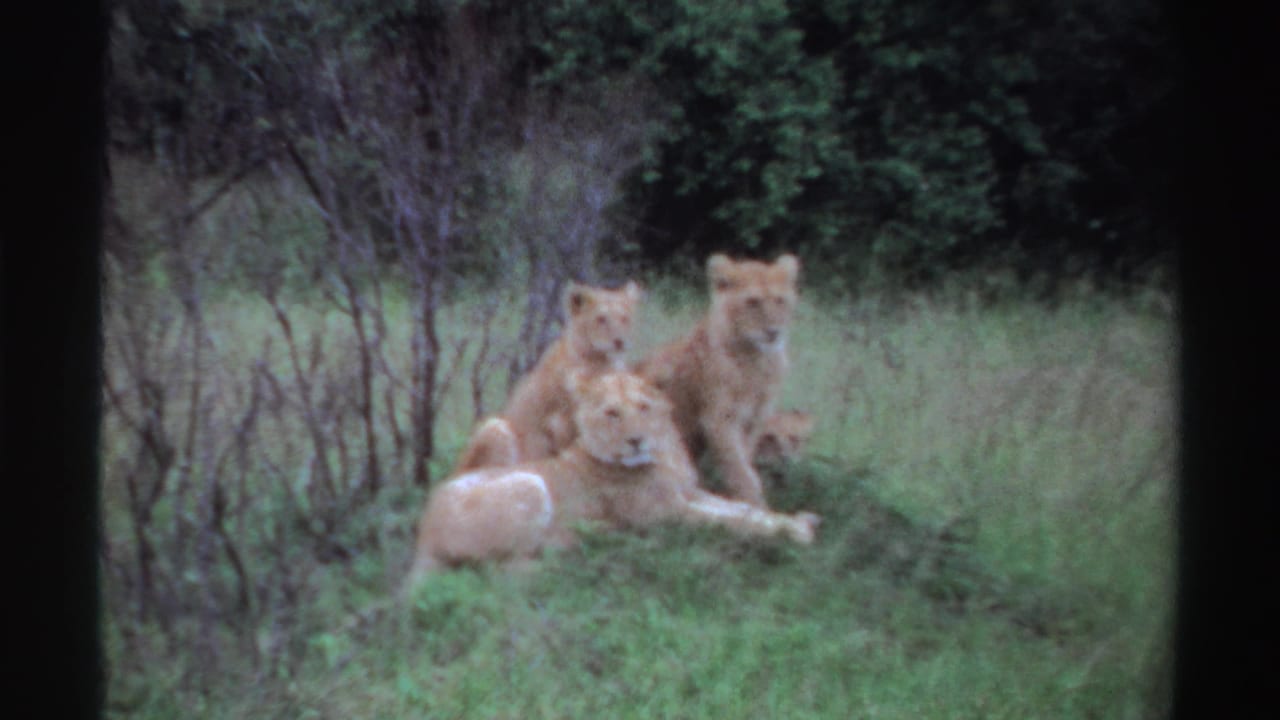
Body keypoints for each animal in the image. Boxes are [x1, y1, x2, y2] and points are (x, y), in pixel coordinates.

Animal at [406, 370, 820, 586]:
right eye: (611, 413)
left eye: (643, 407)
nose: (636, 440)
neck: (662, 454)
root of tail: (423, 530)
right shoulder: (665, 514)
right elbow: (730, 522)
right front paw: (794, 534)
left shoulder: (688, 494)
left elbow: (740, 509)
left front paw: (797, 521)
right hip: (529, 483)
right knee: (501, 570)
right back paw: (582, 551)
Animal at [452, 280, 642, 473]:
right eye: (601, 319)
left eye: (624, 318)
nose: (619, 342)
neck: (603, 361)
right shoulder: (559, 422)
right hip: (495, 428)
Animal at [636, 253, 800, 508]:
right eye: (753, 302)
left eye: (780, 300)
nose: (773, 332)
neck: (757, 360)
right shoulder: (719, 419)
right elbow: (741, 471)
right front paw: (755, 506)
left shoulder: (753, 420)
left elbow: (745, 463)